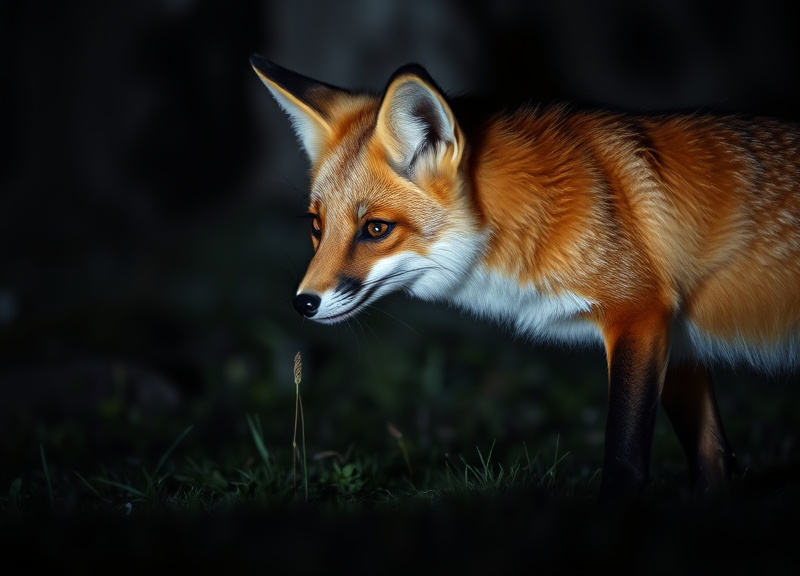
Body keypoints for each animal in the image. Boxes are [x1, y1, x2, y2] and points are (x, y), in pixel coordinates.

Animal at [250, 55, 800, 497]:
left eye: (376, 229)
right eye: (316, 226)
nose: (303, 302)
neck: (530, 216)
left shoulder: (639, 316)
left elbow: (624, 465)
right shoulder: (681, 344)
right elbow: (713, 461)